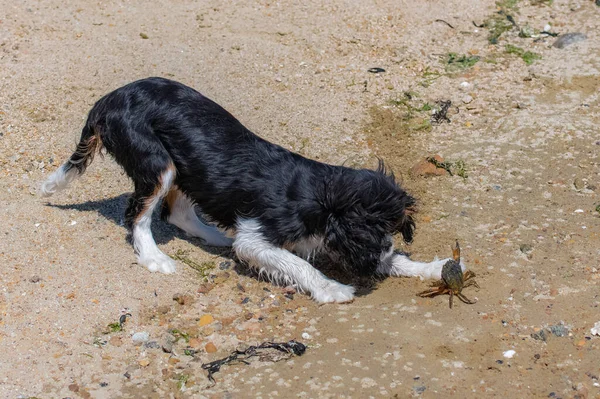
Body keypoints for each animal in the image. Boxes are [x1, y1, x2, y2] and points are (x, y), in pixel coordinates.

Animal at [41, 77, 464, 304]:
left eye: (392, 235)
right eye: (375, 234)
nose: (383, 254)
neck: (322, 196)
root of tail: (108, 99)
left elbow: (400, 261)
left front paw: (435, 268)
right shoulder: (257, 238)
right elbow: (299, 264)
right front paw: (332, 288)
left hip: (184, 166)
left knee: (177, 212)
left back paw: (214, 237)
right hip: (157, 163)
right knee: (138, 215)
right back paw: (154, 258)